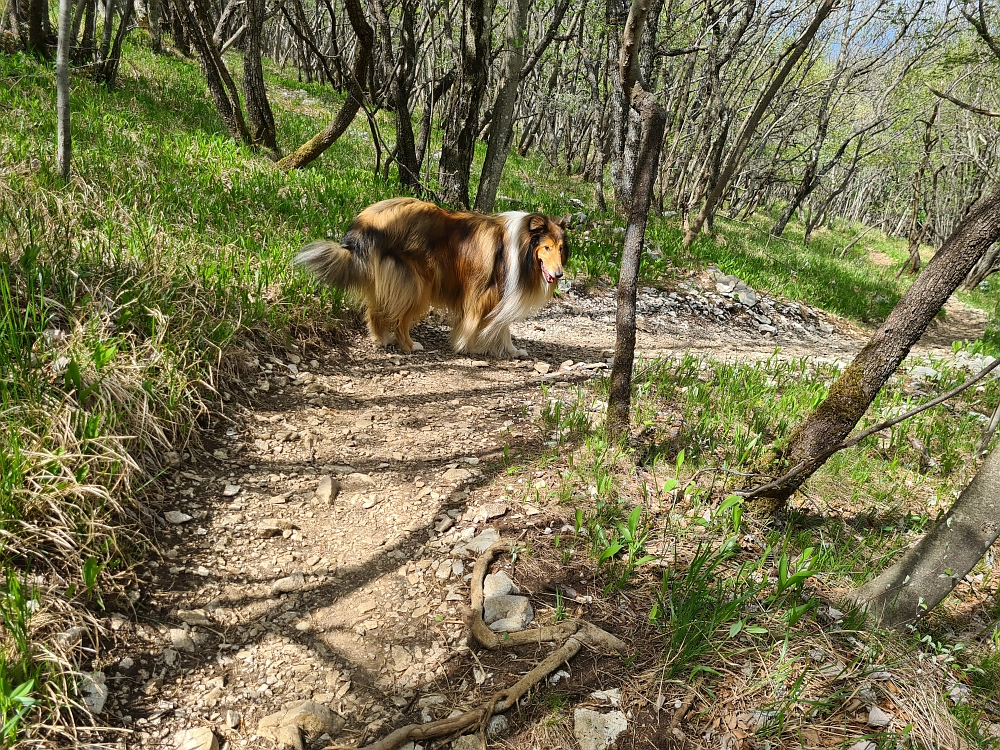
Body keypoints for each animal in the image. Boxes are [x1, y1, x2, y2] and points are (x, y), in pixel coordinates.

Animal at [294, 198, 572, 360]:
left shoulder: (500, 297)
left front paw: (512, 351)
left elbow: (503, 328)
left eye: (560, 248)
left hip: (387, 281)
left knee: (375, 311)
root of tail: (367, 222)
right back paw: (408, 345)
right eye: (546, 247)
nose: (559, 274)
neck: (521, 247)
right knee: (398, 319)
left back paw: (382, 340)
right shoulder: (488, 294)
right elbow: (487, 325)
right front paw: (468, 346)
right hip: (417, 285)